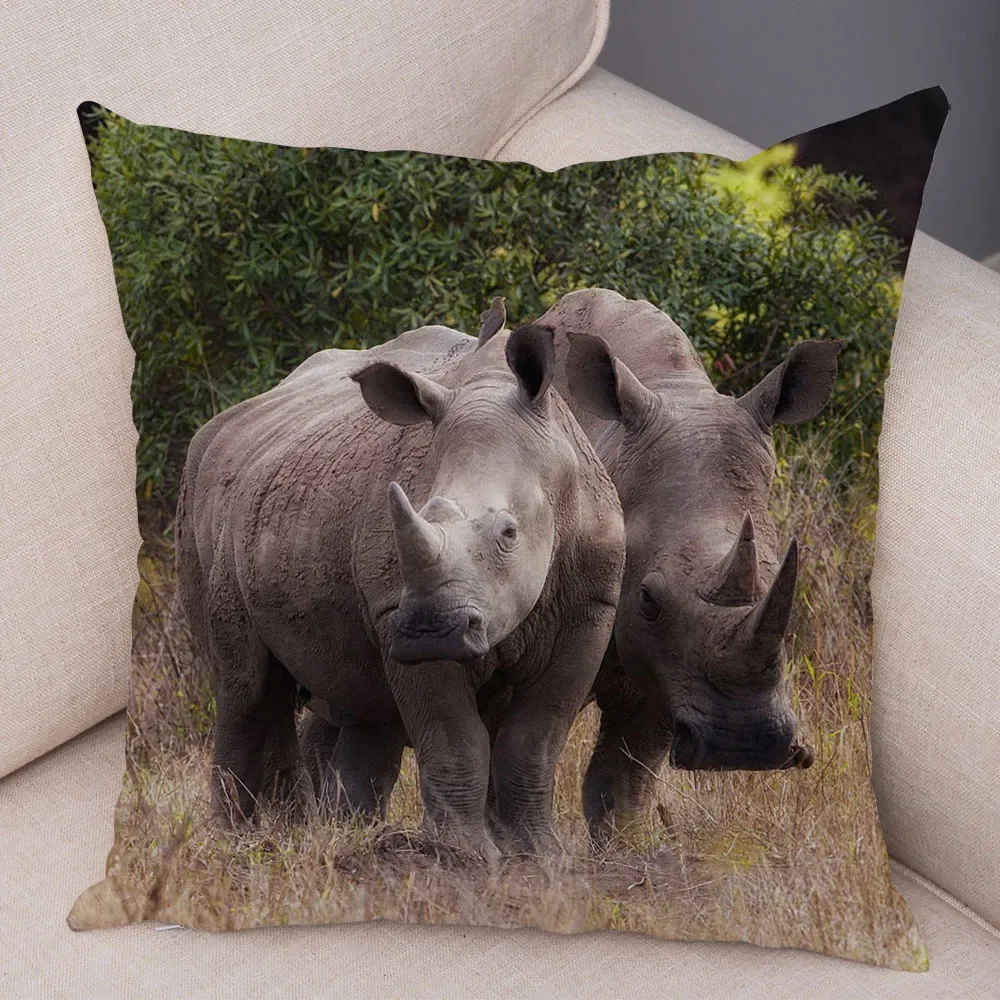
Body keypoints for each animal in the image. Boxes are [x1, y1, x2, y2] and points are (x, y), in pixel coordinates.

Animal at [175, 304, 624, 857]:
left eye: (509, 533)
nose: (429, 633)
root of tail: (225, 425)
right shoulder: (395, 607)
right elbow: (454, 735)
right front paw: (467, 856)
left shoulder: (590, 607)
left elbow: (534, 740)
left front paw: (539, 855)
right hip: (207, 506)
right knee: (247, 686)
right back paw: (237, 842)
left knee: (358, 702)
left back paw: (331, 833)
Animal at [537, 289, 838, 839]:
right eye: (648, 598)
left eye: (784, 586)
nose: (743, 746)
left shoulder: (670, 671)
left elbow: (622, 784)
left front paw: (624, 847)